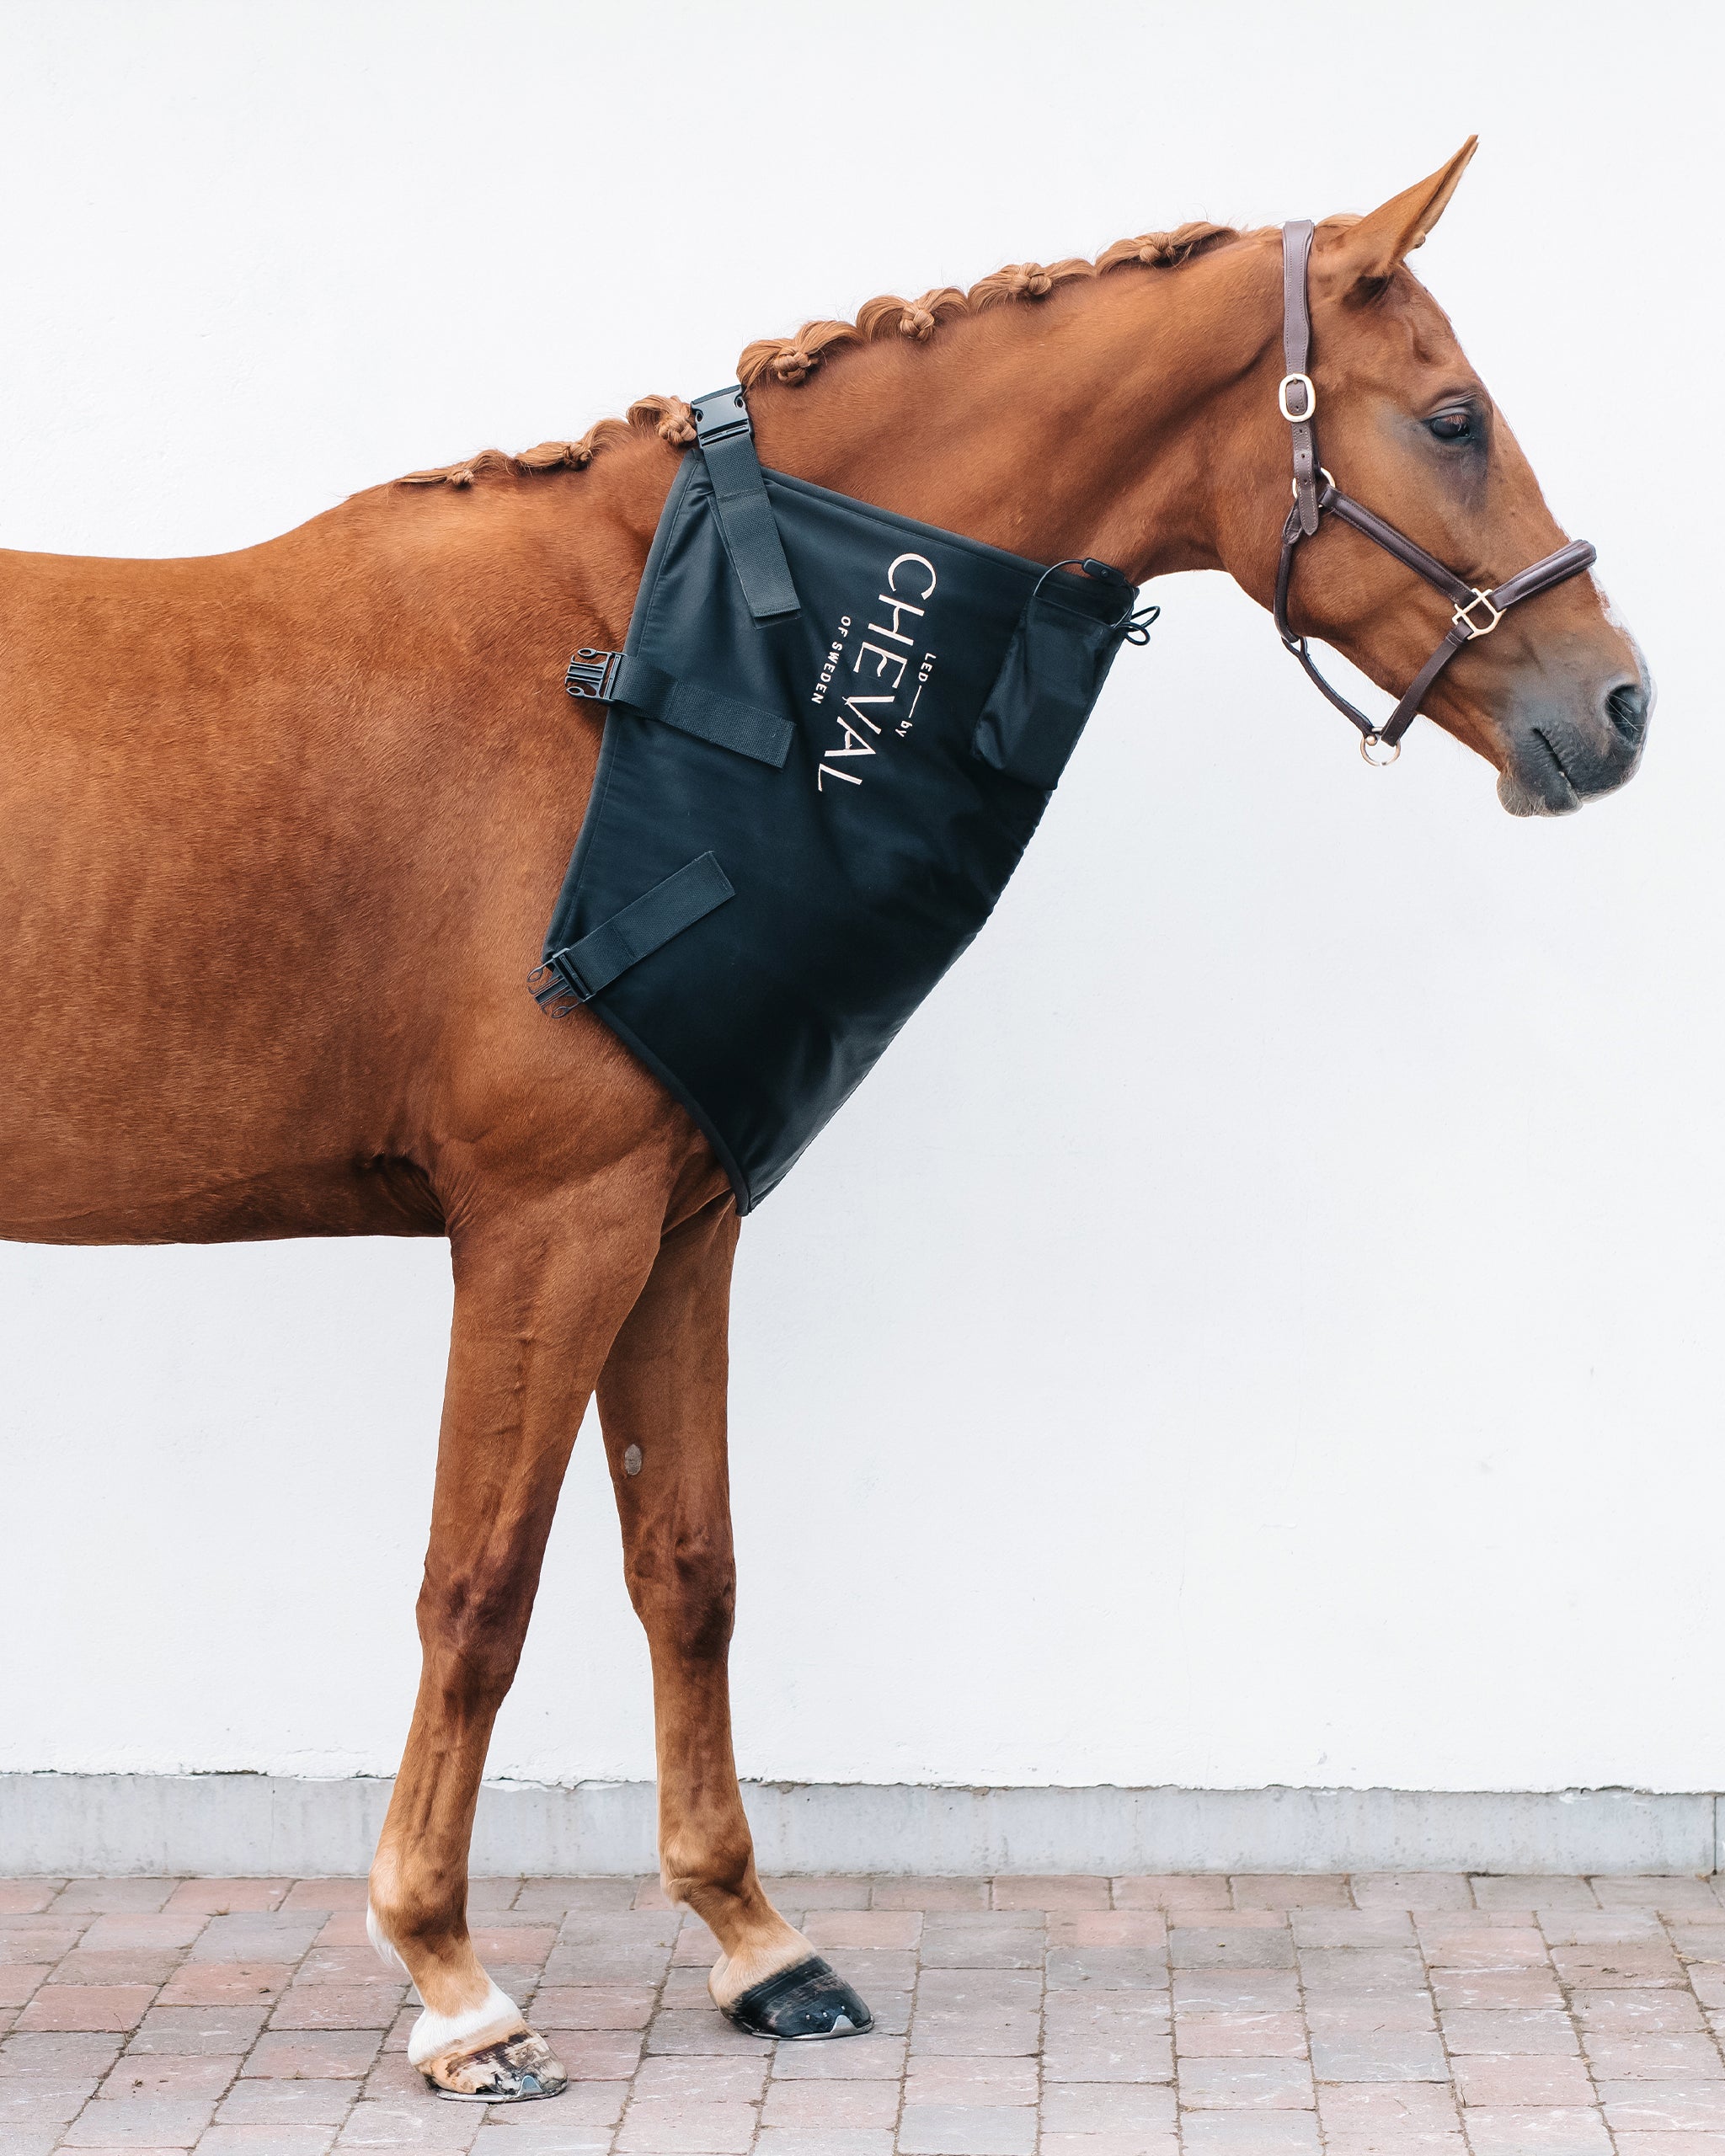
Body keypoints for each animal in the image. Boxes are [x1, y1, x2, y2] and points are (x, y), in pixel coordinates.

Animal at [0, 140, 1649, 2099]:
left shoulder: (672, 1219)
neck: (655, 662)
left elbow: (686, 1569)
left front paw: (754, 1942)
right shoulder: (545, 1223)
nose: (1617, 703)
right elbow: (478, 1589)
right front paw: (457, 1982)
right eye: (1453, 416)